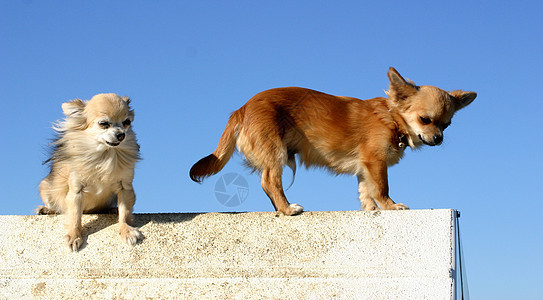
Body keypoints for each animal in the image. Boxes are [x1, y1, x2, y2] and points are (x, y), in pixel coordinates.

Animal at [39, 93, 143, 251]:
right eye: (104, 123)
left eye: (126, 122)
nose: (121, 135)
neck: (104, 156)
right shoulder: (76, 191)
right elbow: (75, 216)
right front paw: (74, 235)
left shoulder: (125, 188)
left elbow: (125, 212)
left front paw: (126, 230)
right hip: (46, 187)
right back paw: (46, 210)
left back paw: (110, 210)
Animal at [190, 67, 476, 214]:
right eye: (425, 120)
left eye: (447, 124)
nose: (438, 139)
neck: (391, 118)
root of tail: (241, 109)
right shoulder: (375, 162)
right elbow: (381, 188)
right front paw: (390, 206)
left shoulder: (364, 168)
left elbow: (366, 191)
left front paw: (370, 210)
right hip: (276, 151)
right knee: (269, 181)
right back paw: (287, 208)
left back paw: (280, 208)